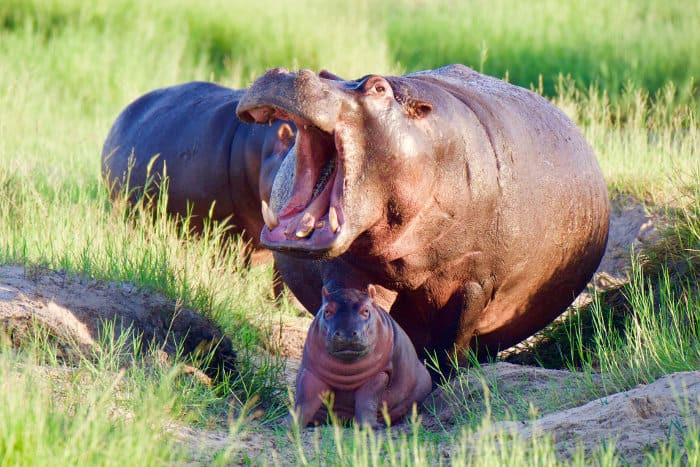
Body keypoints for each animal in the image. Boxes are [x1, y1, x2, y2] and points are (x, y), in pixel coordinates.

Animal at [238, 65, 608, 366]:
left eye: (378, 88)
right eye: (325, 74)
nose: (287, 73)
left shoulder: (472, 280)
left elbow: (452, 338)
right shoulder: (349, 269)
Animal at [290, 284, 432, 430]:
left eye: (366, 310)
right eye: (327, 311)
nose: (346, 334)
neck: (345, 375)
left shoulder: (378, 375)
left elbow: (367, 401)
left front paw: (371, 427)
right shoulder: (311, 372)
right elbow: (305, 400)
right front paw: (291, 425)